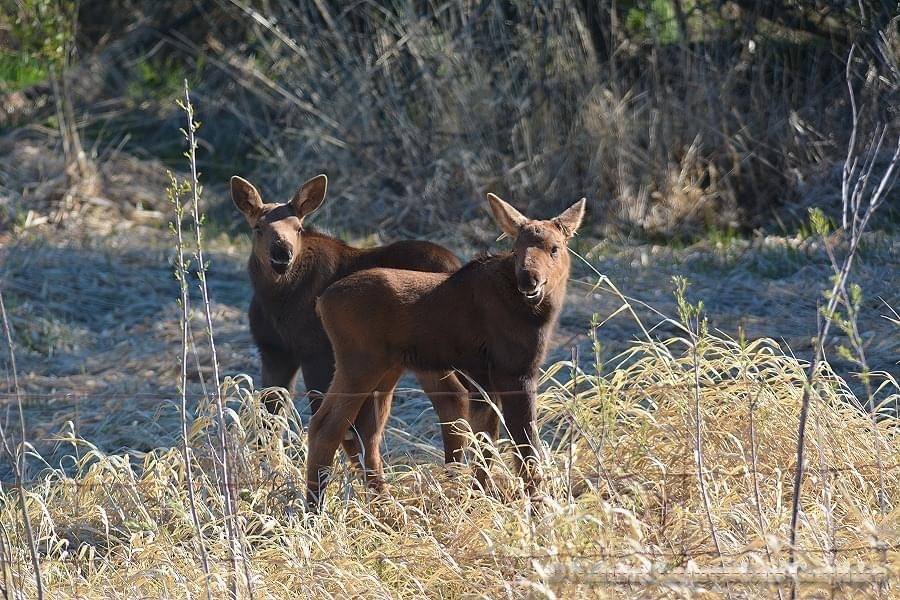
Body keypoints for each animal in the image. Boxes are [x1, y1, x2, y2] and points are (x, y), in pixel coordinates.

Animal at [231, 174, 471, 473]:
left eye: (298, 228)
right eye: (258, 227)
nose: (281, 254)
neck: (276, 298)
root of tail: (454, 265)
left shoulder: (317, 352)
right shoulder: (274, 352)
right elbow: (268, 419)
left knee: (454, 398)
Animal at [306, 192, 586, 509]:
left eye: (554, 248)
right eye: (516, 249)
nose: (529, 280)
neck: (535, 315)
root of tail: (322, 302)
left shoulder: (485, 375)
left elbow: (486, 440)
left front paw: (479, 497)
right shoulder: (516, 371)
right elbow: (525, 444)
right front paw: (539, 506)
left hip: (386, 369)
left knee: (366, 432)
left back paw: (385, 507)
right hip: (360, 363)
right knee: (326, 427)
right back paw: (315, 509)